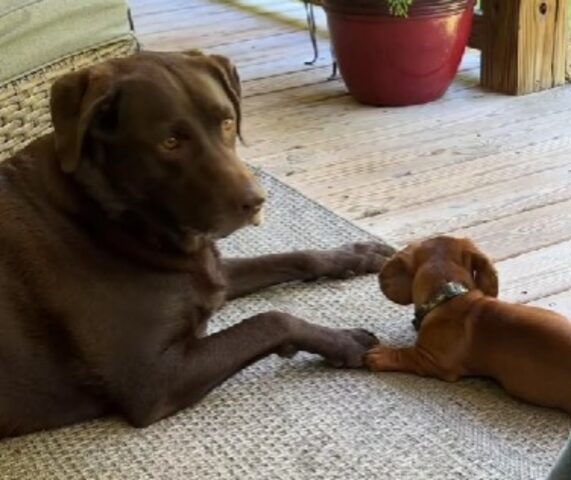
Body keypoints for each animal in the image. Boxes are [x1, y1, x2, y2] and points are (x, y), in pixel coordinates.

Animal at [0, 50, 394, 436]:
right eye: (170, 142)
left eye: (227, 123)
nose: (257, 201)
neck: (113, 216)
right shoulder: (153, 382)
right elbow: (272, 320)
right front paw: (345, 341)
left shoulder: (211, 274)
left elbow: (296, 256)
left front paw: (359, 255)